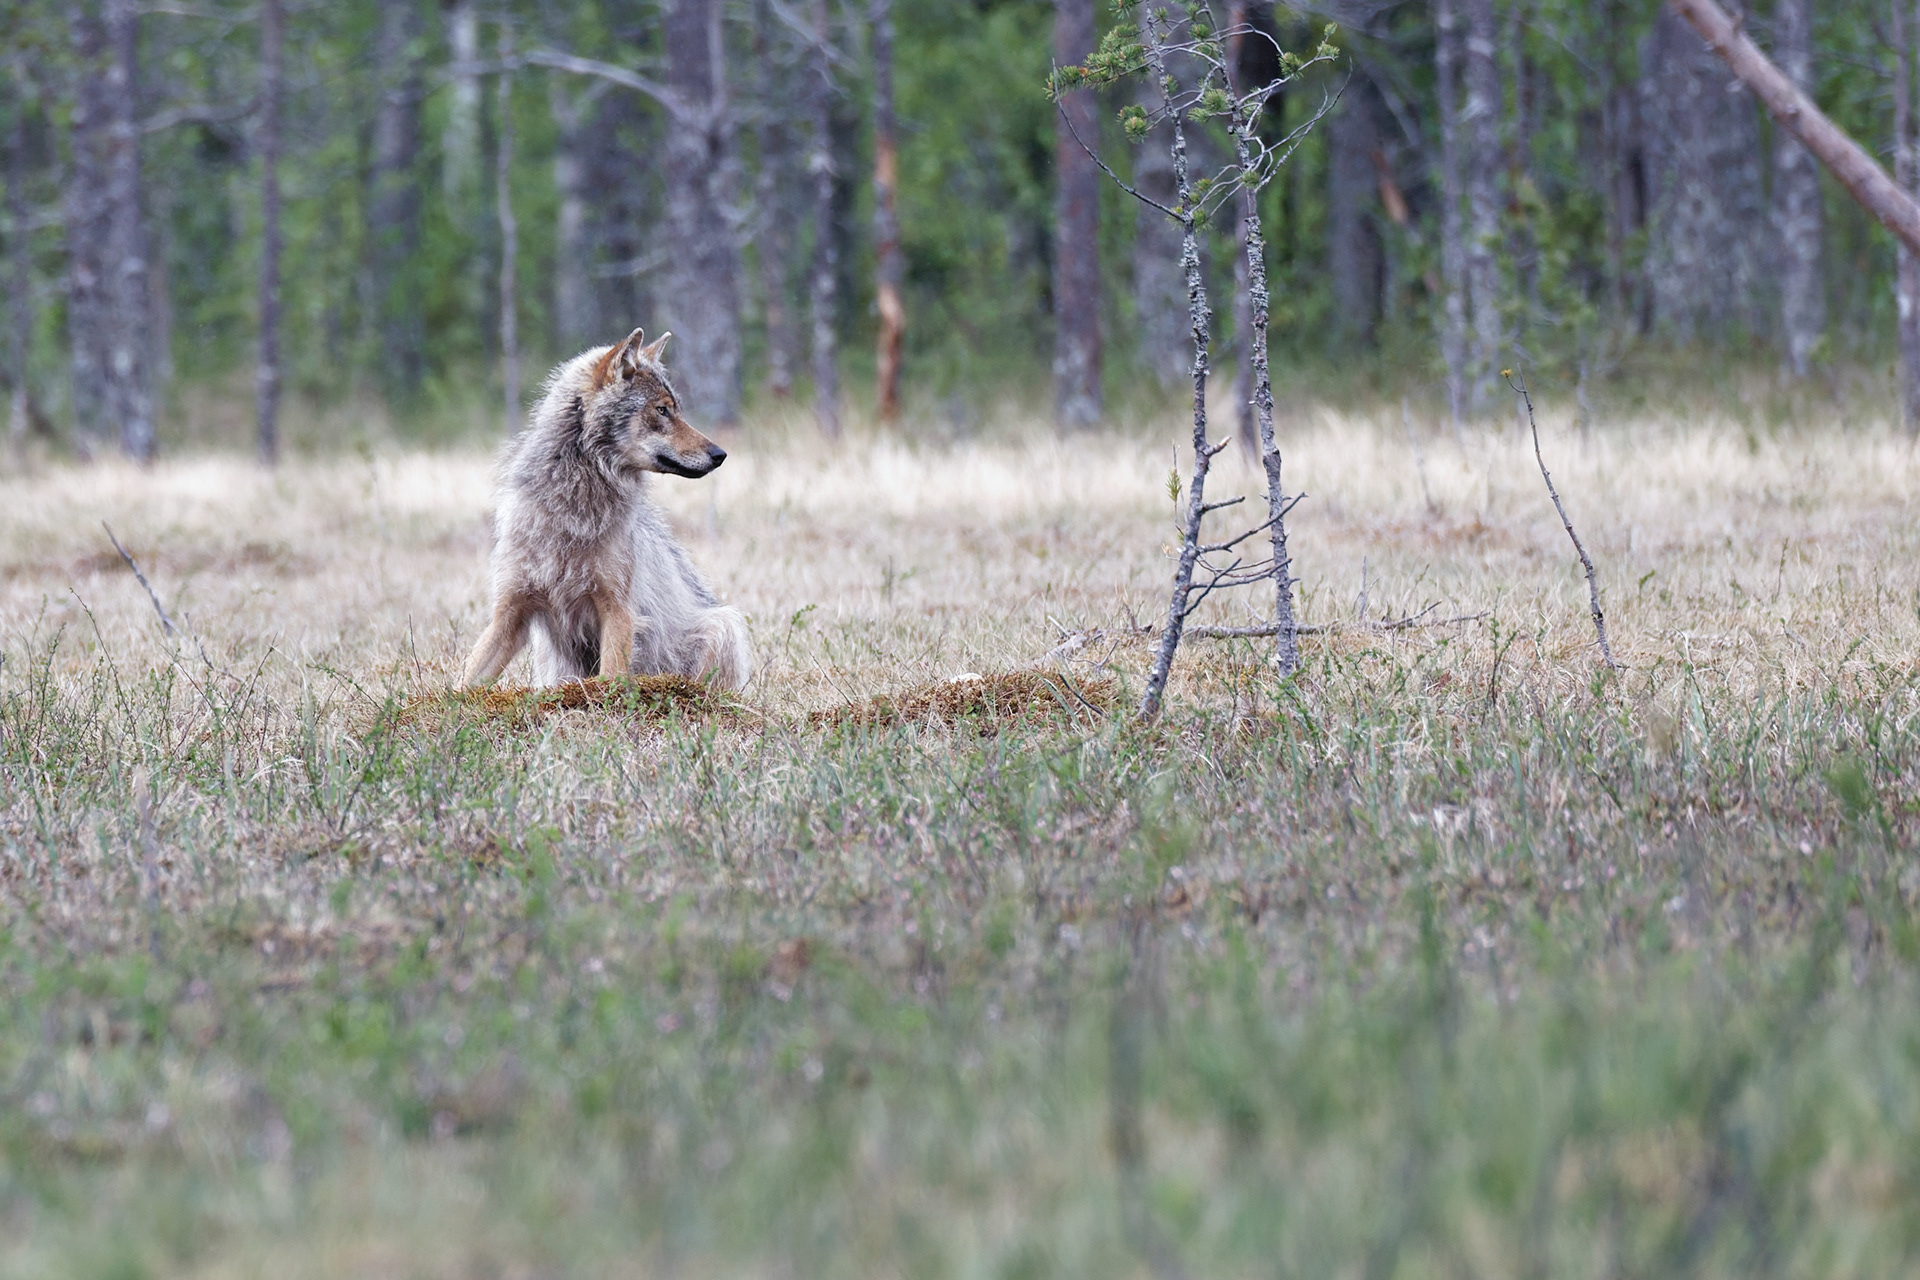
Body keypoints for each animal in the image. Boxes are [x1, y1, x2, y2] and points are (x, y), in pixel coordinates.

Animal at [461, 328, 753, 690]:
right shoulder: (509, 613)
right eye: (662, 410)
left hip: (723, 623)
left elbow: (610, 679)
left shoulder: (618, 611)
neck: (574, 508)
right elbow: (463, 681)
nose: (720, 454)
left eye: (676, 410)